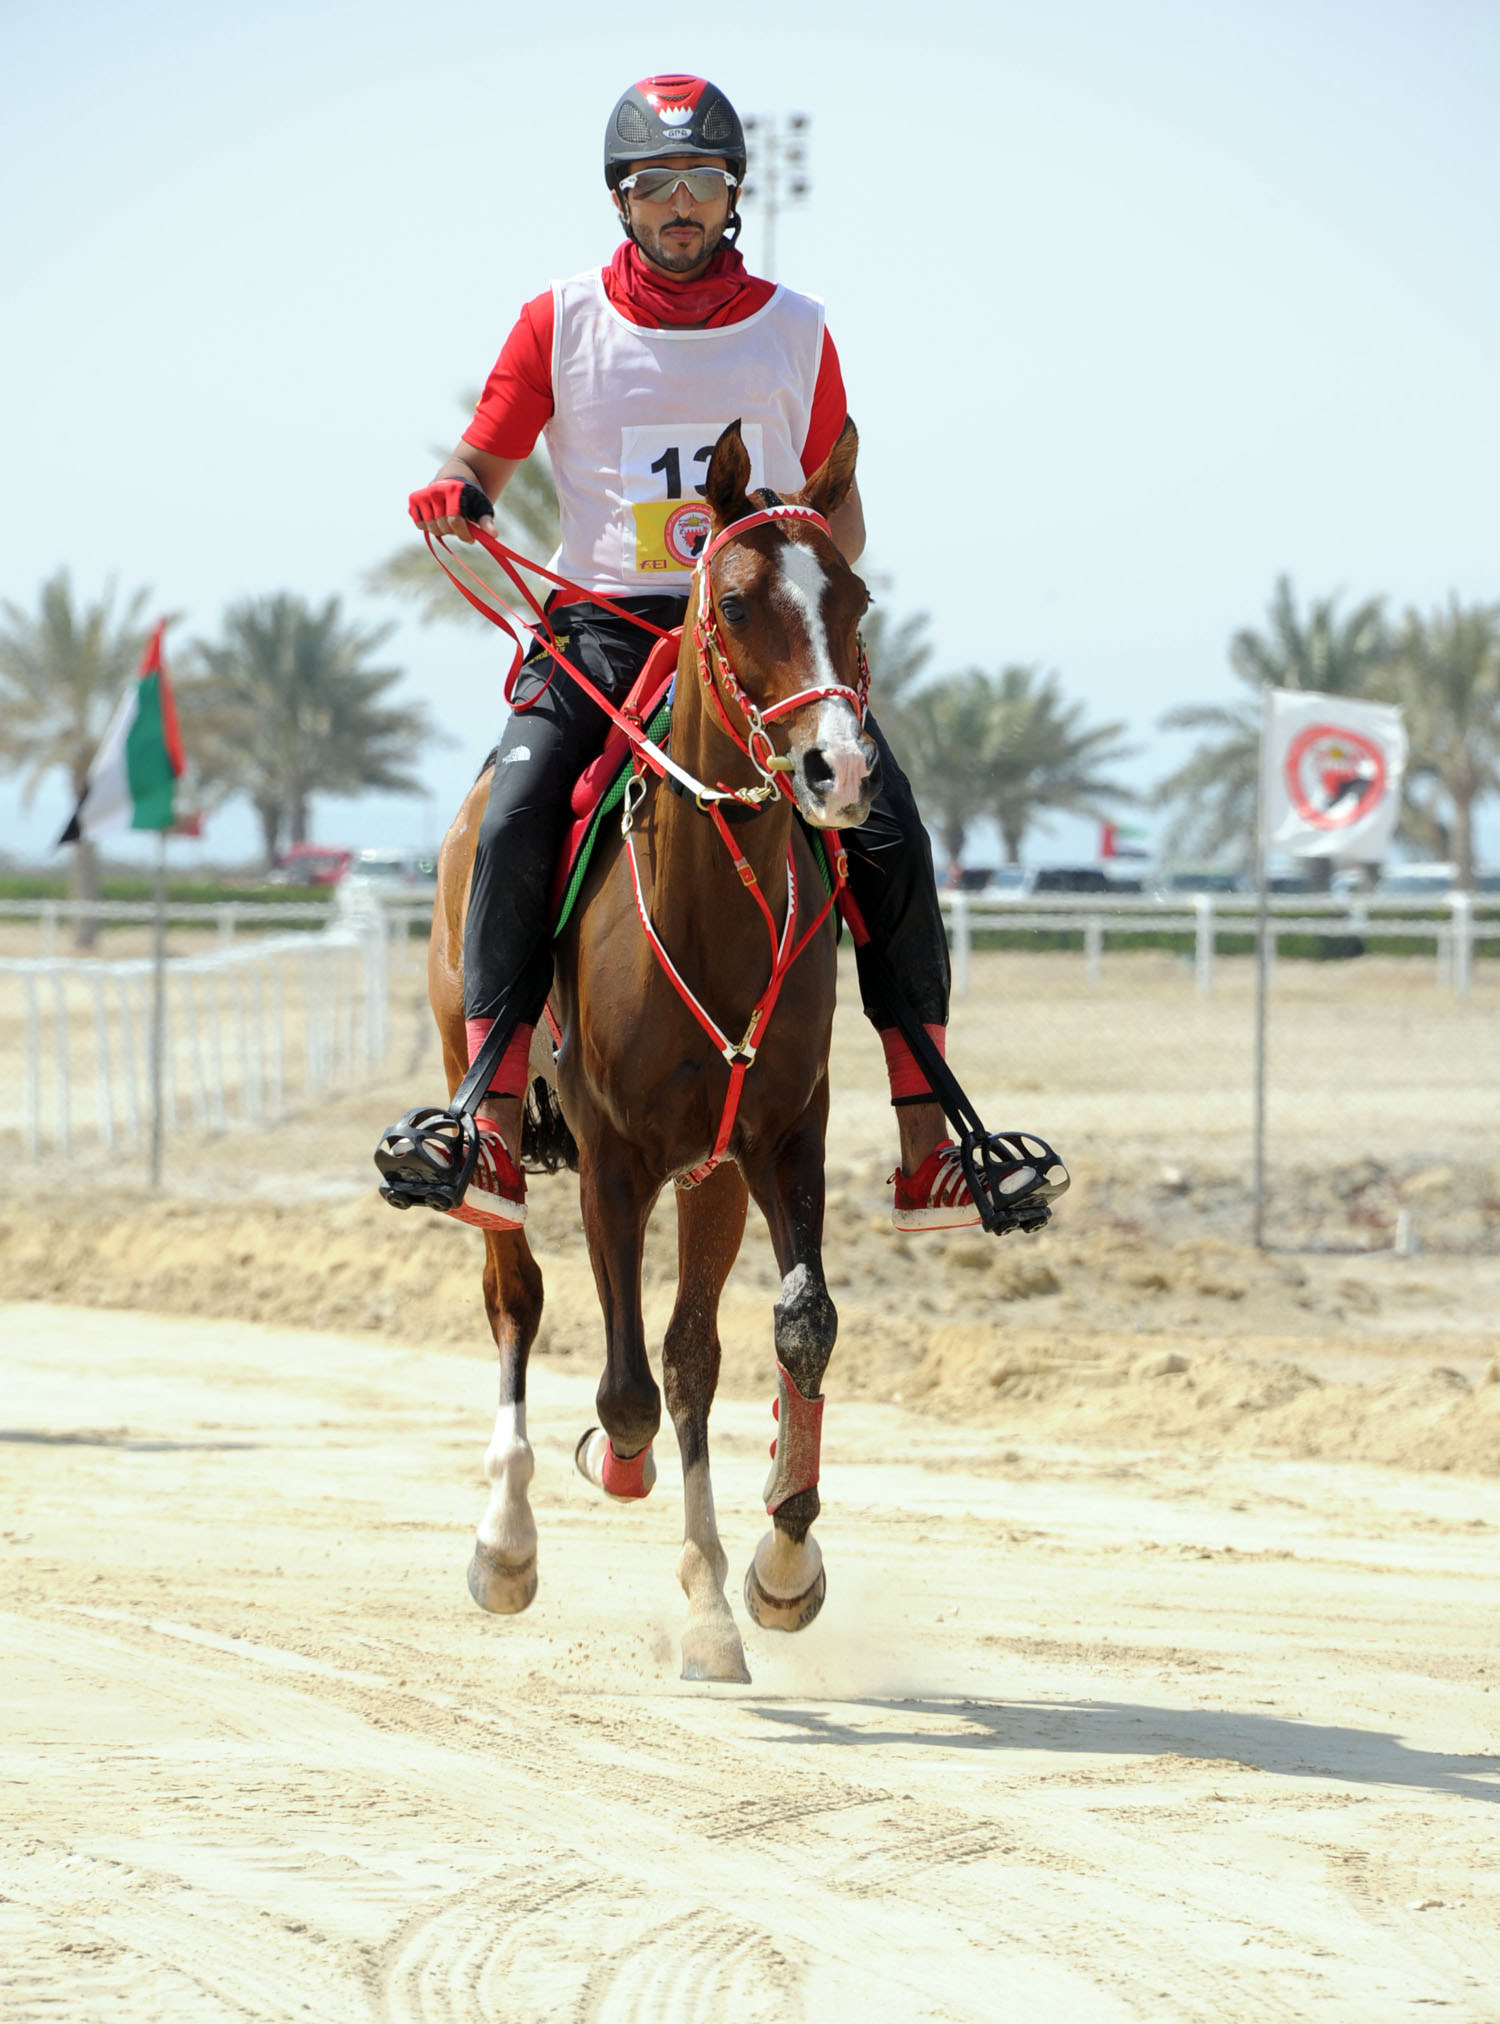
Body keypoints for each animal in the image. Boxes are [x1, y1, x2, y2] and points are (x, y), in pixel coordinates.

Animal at [427, 418, 878, 1683]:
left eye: (858, 597)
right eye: (735, 601)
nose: (837, 768)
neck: (711, 913)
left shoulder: (776, 1136)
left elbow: (790, 1330)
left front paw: (775, 1568)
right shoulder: (616, 1156)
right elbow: (622, 1386)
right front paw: (610, 1473)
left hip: (710, 1172)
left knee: (688, 1353)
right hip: (493, 1122)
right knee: (517, 1296)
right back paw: (508, 1540)